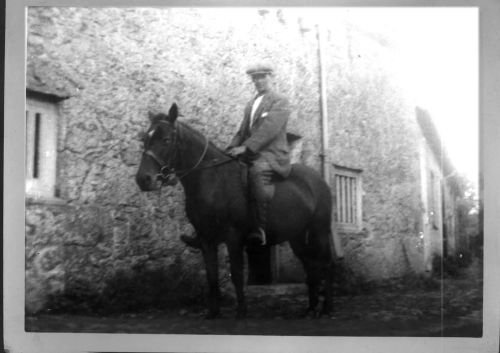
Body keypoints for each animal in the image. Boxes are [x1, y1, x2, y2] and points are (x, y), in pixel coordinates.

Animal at [135, 103, 334, 318]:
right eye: (145, 139)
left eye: (166, 140)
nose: (143, 179)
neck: (212, 180)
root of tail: (317, 180)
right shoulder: (206, 239)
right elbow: (212, 276)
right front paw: (213, 313)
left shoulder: (233, 237)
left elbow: (237, 274)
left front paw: (241, 312)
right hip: (296, 236)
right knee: (310, 266)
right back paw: (311, 309)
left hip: (319, 230)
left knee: (325, 264)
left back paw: (327, 308)